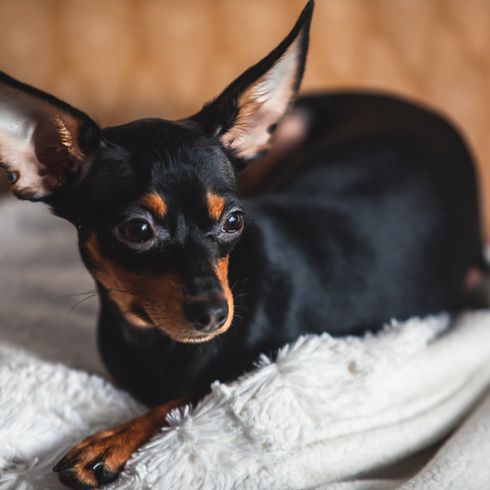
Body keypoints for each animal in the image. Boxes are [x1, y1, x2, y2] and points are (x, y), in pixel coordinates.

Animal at [0, 1, 484, 488]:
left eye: (234, 221)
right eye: (137, 231)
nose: (216, 313)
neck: (154, 340)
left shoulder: (259, 366)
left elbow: (189, 397)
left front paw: (111, 440)